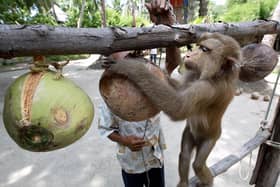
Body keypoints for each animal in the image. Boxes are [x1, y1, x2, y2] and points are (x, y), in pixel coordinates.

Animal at [106, 32, 242, 187]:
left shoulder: (208, 88)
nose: (188, 55)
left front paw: (131, 67)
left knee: (198, 164)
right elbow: (179, 90)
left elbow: (178, 107)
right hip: (190, 133)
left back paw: (207, 181)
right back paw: (183, 182)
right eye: (198, 46)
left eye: (204, 50)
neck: (218, 73)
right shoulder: (193, 75)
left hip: (212, 137)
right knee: (185, 155)